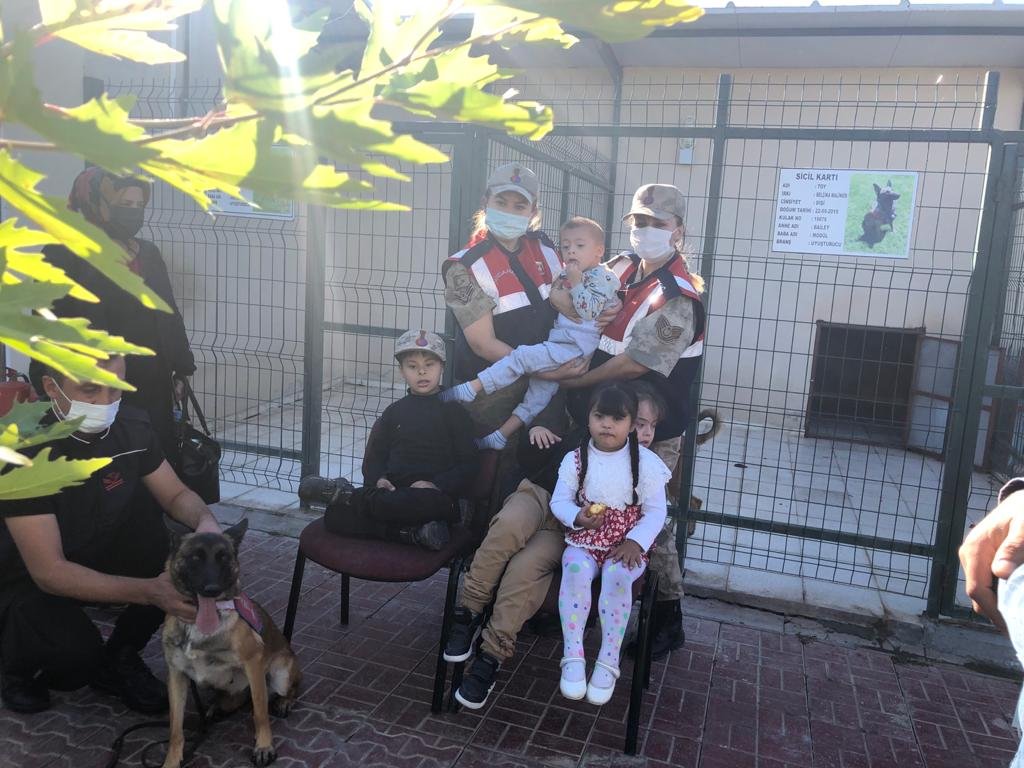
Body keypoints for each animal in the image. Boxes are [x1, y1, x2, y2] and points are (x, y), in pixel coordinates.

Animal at [161, 520, 300, 768]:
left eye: (224, 558)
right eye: (195, 558)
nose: (212, 589)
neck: (198, 625)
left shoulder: (253, 664)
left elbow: (260, 713)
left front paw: (263, 746)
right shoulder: (176, 675)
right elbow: (175, 729)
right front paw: (172, 760)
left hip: (280, 673)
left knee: (285, 691)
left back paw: (284, 702)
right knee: (234, 700)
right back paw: (217, 708)